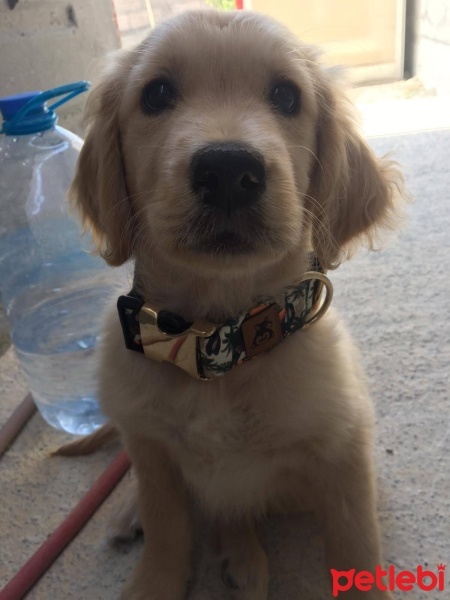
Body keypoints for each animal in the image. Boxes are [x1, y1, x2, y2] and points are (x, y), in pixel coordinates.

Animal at [69, 9, 400, 600]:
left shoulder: (343, 451)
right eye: (156, 94)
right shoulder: (150, 447)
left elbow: (357, 548)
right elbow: (167, 525)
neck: (215, 343)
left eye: (287, 96)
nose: (227, 170)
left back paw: (241, 559)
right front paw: (154, 579)